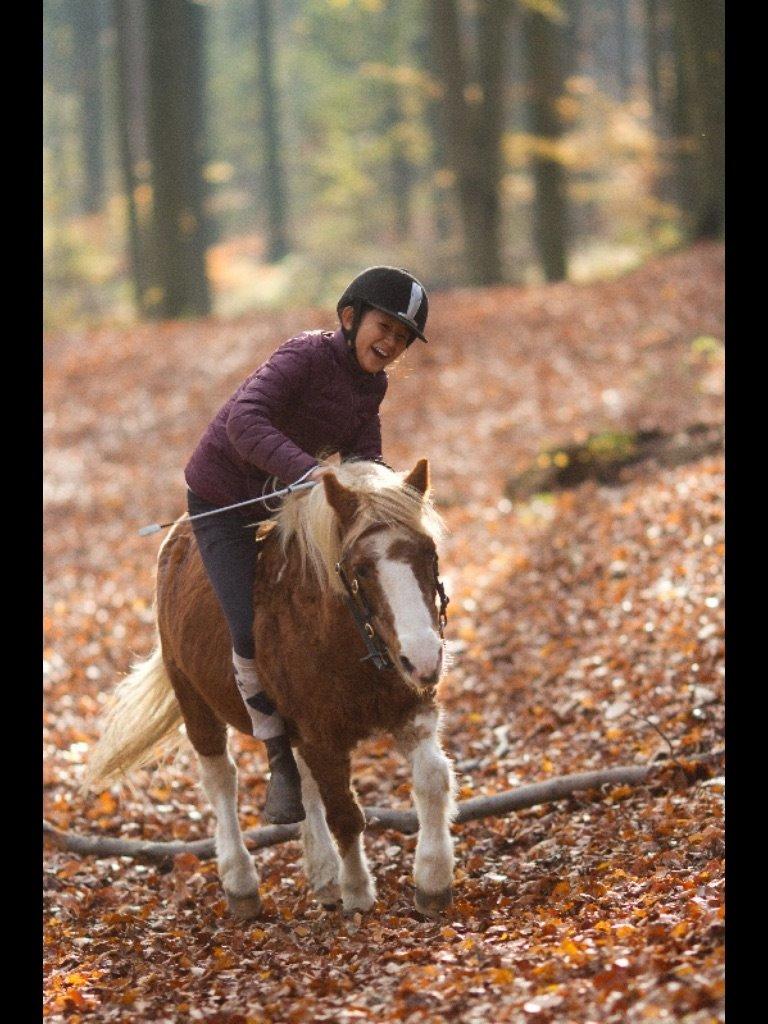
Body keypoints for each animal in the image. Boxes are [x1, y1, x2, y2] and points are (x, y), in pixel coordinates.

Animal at [85, 458, 456, 921]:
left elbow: (432, 779)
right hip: (191, 695)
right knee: (221, 780)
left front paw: (432, 880)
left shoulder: (409, 711)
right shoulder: (322, 736)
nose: (423, 658)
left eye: (430, 554)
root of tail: (176, 538)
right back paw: (241, 883)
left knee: (301, 781)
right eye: (361, 570)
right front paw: (357, 893)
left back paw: (323, 875)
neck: (348, 639)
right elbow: (344, 813)